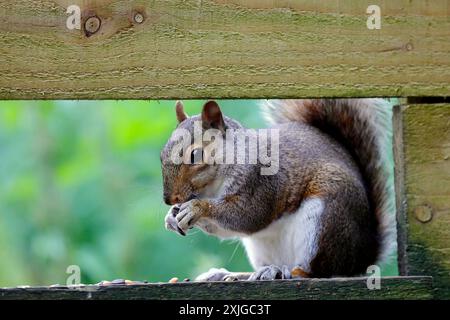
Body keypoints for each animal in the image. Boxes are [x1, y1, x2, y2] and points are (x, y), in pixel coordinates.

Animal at [160, 99, 392, 280]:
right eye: (162, 155)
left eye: (195, 155)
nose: (170, 199)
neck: (212, 188)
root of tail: (362, 254)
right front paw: (171, 216)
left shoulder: (261, 184)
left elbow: (248, 216)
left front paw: (197, 208)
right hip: (261, 249)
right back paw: (236, 274)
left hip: (325, 222)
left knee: (318, 271)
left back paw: (283, 273)